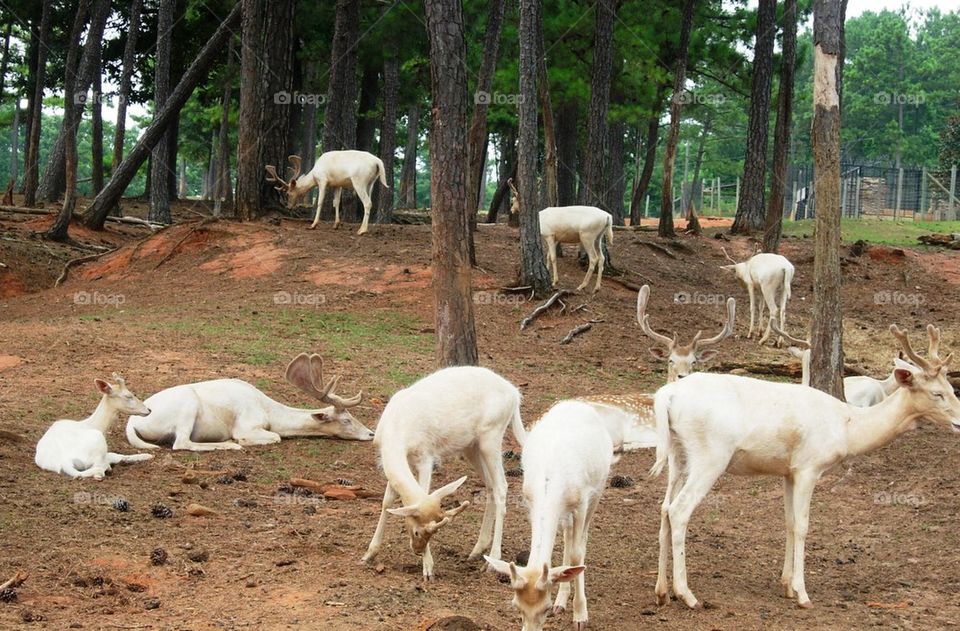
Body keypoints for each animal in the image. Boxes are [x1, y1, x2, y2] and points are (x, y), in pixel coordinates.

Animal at [125, 354, 373, 451]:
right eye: (346, 419)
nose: (371, 433)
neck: (269, 413)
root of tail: (131, 423)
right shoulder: (246, 425)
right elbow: (275, 437)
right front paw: (242, 441)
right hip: (188, 407)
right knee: (182, 442)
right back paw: (230, 445)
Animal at [361, 366, 525, 580]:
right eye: (417, 532)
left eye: (422, 532)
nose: (417, 549)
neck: (398, 428)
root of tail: (514, 394)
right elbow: (387, 501)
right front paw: (369, 554)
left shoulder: (425, 457)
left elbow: (421, 493)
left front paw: (428, 569)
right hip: (472, 446)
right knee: (490, 485)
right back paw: (477, 550)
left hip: (492, 436)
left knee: (501, 487)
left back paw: (492, 560)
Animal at [485, 399, 635, 631]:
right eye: (516, 606)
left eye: (545, 608)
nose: (552, 606)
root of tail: (575, 403)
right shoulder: (531, 503)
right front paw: (564, 601)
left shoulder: (582, 502)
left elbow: (577, 554)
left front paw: (580, 615)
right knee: (567, 534)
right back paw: (562, 600)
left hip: (597, 489)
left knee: (581, 539)